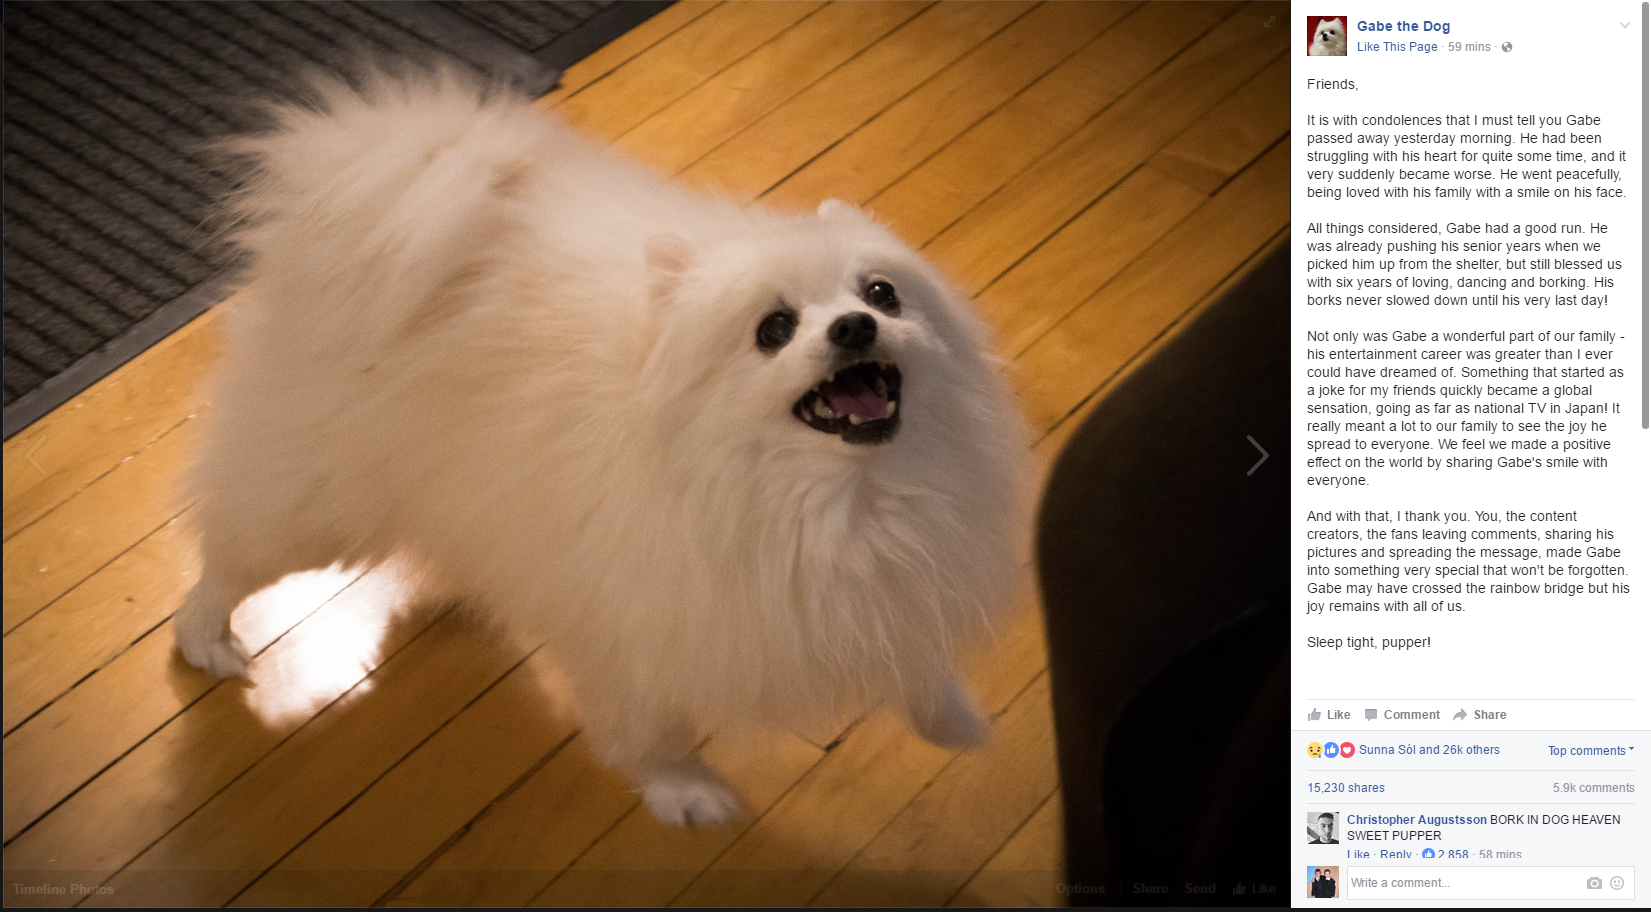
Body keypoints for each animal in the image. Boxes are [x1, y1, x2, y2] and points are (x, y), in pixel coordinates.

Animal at [180, 73, 1030, 826]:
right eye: (774, 329)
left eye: (881, 293)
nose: (854, 326)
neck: (843, 498)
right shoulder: (635, 633)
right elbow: (655, 734)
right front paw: (685, 794)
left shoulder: (898, 580)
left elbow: (918, 656)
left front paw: (950, 718)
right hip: (316, 503)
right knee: (226, 559)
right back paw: (206, 640)